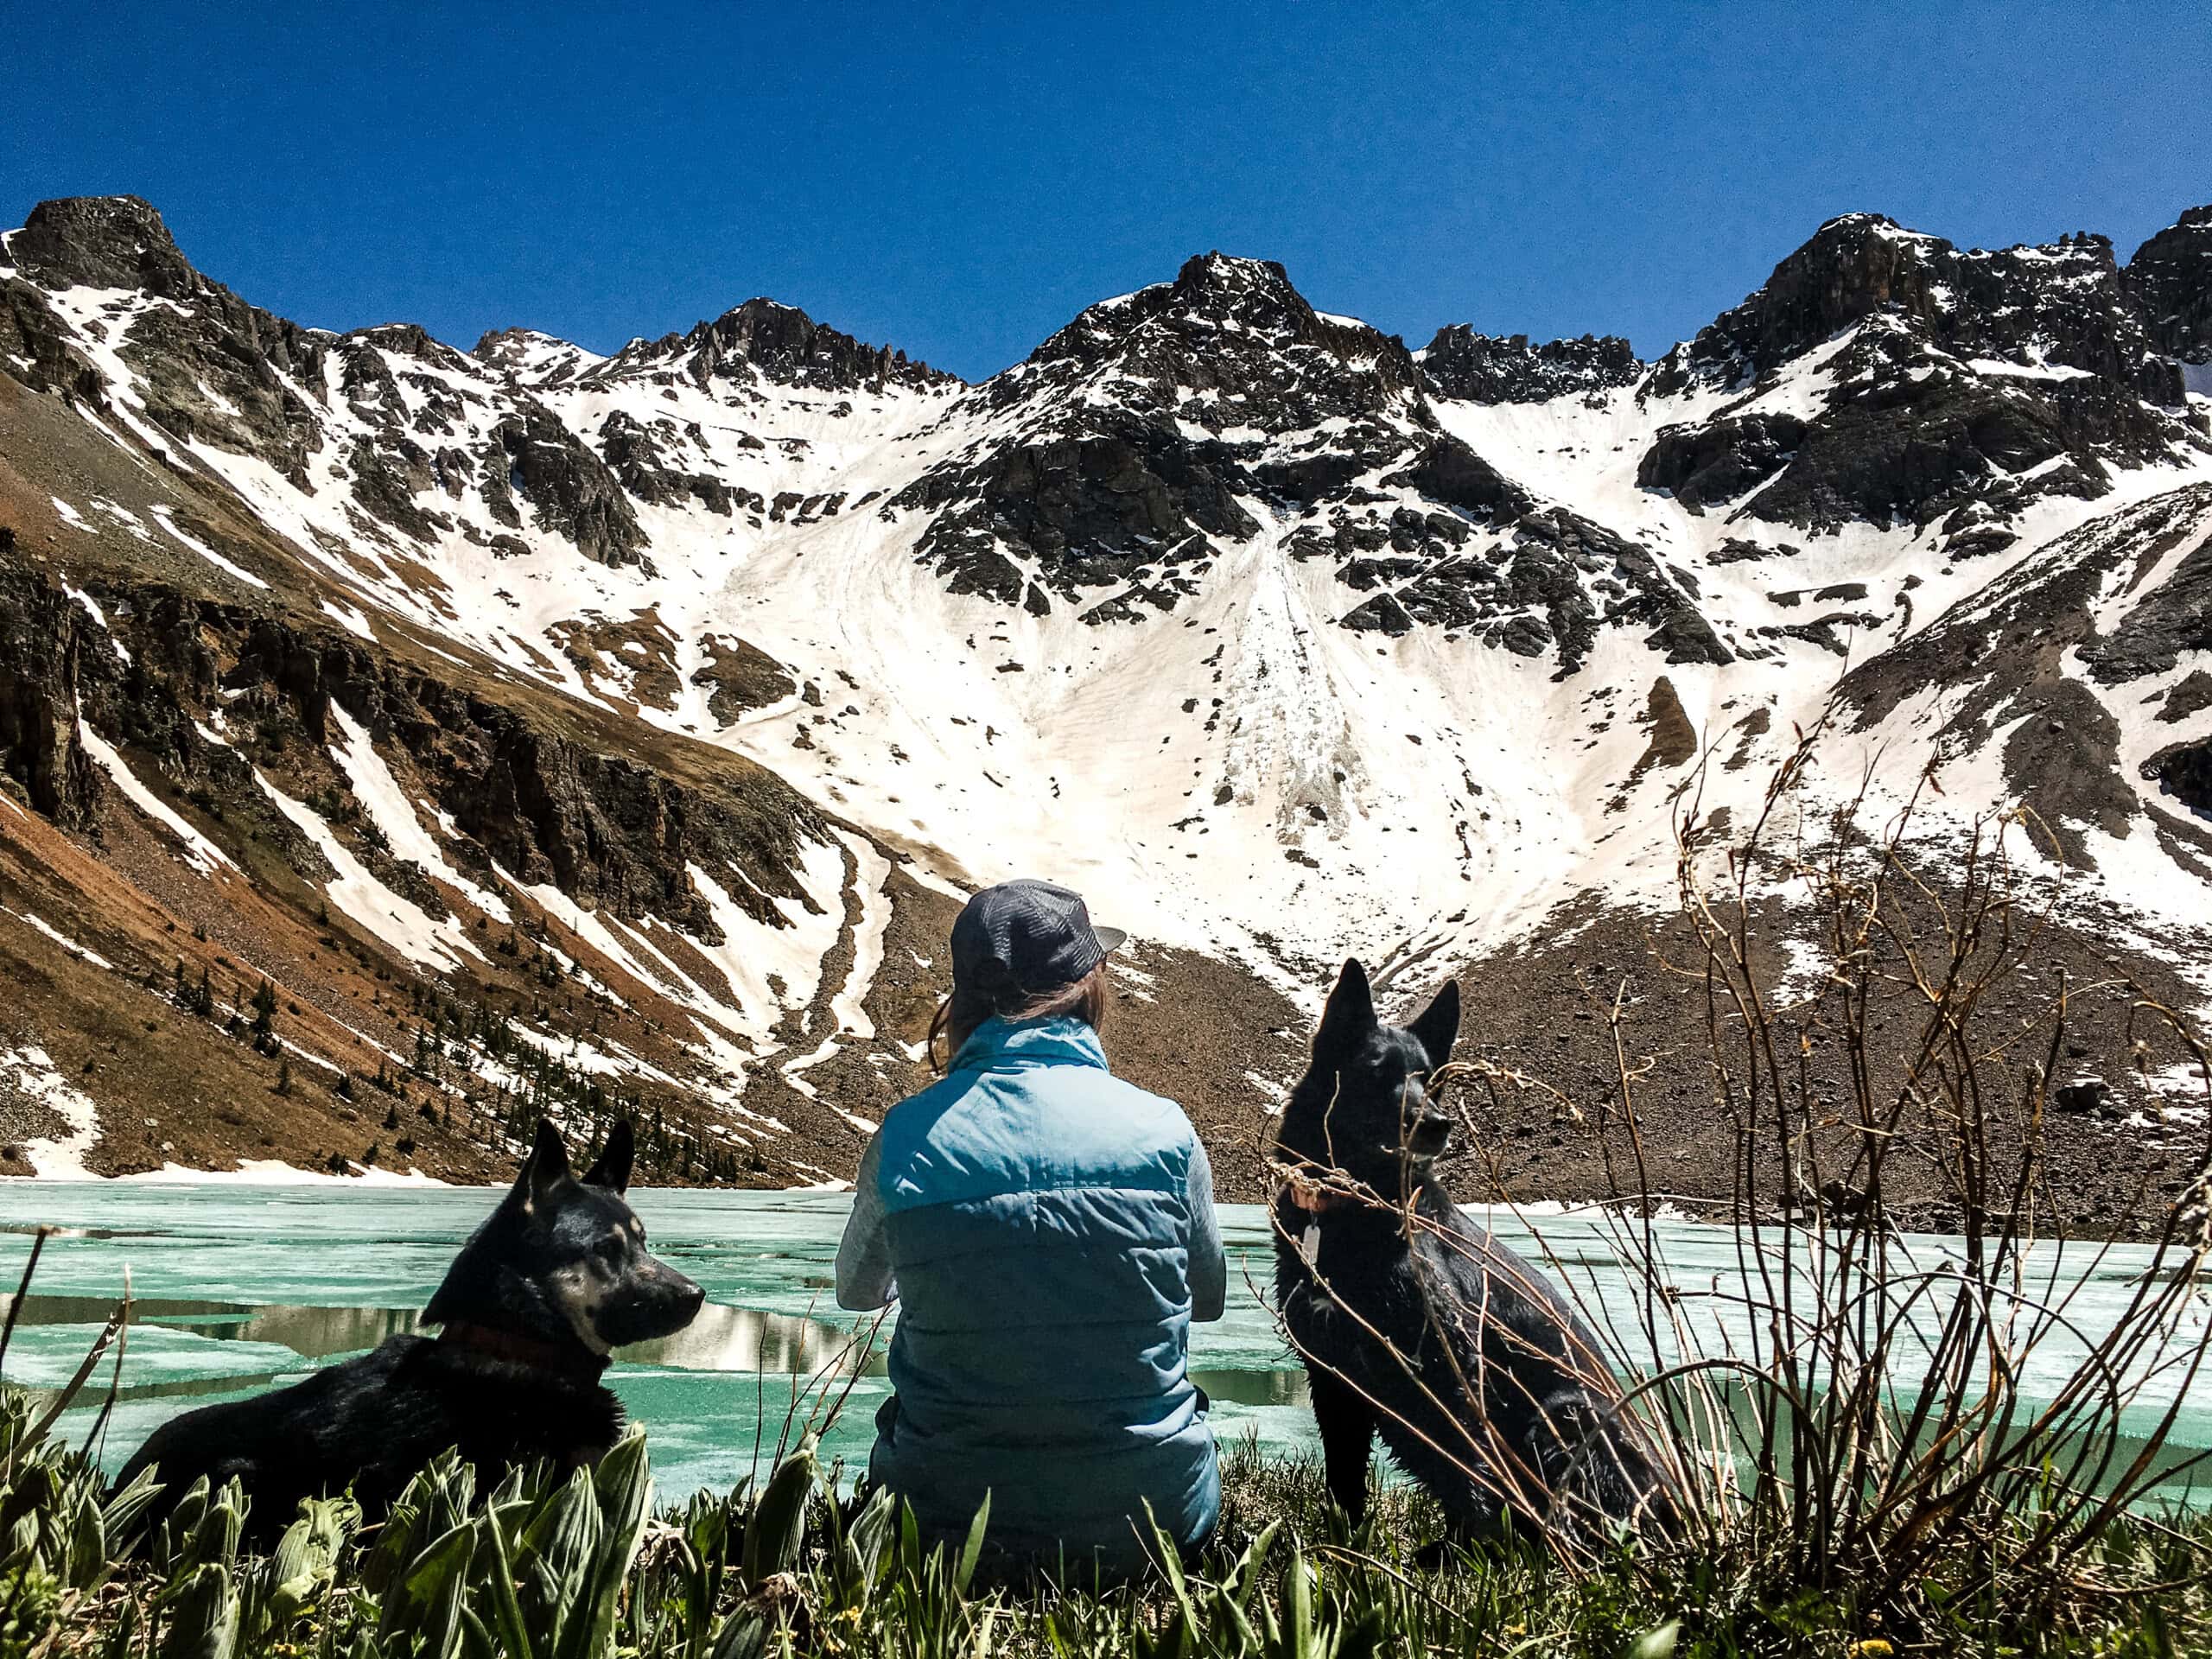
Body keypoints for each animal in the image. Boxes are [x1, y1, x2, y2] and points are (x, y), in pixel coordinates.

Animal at [1282, 960, 1672, 1557]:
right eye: (1376, 1071)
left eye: (1429, 1078)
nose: (1437, 1124)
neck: (1356, 1213)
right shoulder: (1333, 1378)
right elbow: (1344, 1482)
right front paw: (1345, 1553)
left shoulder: (1452, 1368)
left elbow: (1469, 1476)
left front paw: (1467, 1559)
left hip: (1562, 1415)